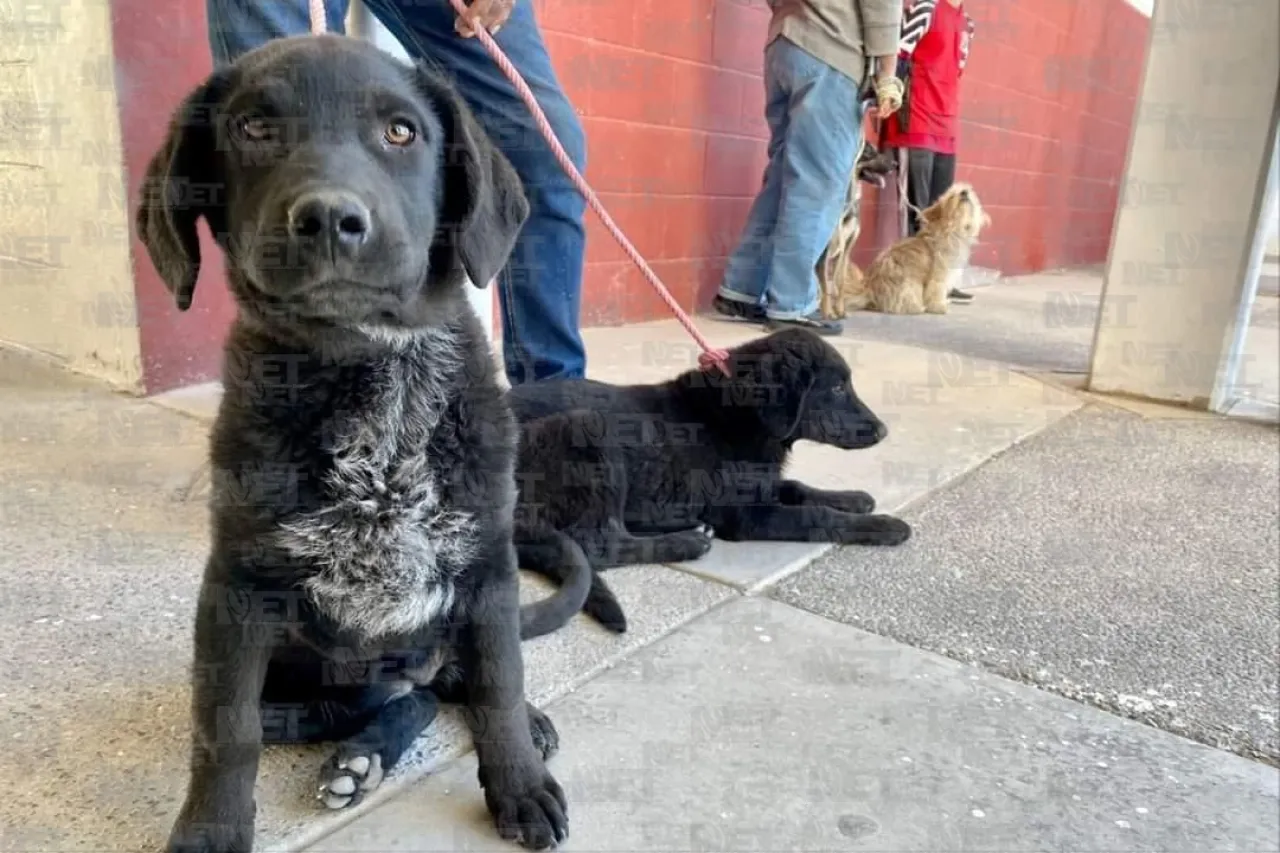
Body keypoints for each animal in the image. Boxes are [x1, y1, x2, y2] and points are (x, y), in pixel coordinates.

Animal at [133, 34, 586, 850]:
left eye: (401, 132)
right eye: (253, 128)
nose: (329, 216)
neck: (375, 374)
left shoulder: (487, 571)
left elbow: (500, 685)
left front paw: (519, 783)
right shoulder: (236, 589)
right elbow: (227, 729)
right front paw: (212, 827)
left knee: (445, 686)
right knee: (383, 701)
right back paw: (354, 754)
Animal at [509, 326, 911, 630]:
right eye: (838, 389)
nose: (883, 431)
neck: (742, 414)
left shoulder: (758, 485)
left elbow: (798, 488)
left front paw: (854, 497)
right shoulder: (747, 515)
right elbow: (817, 515)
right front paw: (884, 526)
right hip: (587, 429)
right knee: (599, 544)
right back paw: (686, 541)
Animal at [839, 180, 988, 313]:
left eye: (970, 190)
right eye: (951, 196)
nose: (964, 192)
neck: (951, 230)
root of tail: (869, 290)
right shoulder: (939, 274)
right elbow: (936, 290)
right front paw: (938, 307)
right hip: (910, 285)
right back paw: (918, 307)